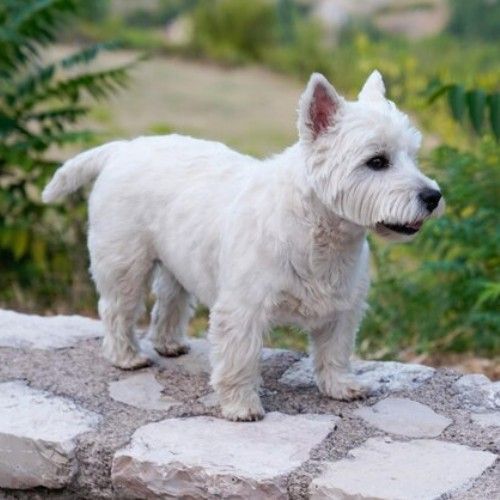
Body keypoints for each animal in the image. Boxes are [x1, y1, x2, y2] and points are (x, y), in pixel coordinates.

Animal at [43, 71, 442, 422]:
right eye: (377, 161)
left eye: (412, 155)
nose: (433, 196)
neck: (320, 233)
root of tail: (123, 148)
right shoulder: (243, 308)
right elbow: (240, 358)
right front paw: (241, 406)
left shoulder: (342, 307)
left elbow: (335, 351)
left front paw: (340, 386)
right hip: (125, 260)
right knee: (117, 308)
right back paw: (126, 357)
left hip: (177, 258)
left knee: (169, 299)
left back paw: (169, 342)